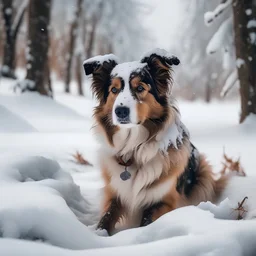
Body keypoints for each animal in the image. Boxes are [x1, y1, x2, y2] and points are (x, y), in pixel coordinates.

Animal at [82, 49, 226, 235]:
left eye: (140, 88)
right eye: (114, 89)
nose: (120, 111)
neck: (133, 150)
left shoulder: (164, 201)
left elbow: (146, 222)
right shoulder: (114, 194)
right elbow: (105, 219)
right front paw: (98, 235)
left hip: (203, 174)